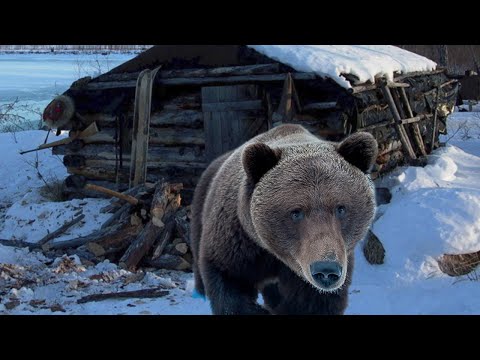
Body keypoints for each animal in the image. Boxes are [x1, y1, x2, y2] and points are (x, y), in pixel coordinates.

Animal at [189, 124, 376, 316]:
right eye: (296, 212)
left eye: (340, 208)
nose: (326, 270)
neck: (275, 253)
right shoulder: (238, 244)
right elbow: (229, 283)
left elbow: (312, 303)